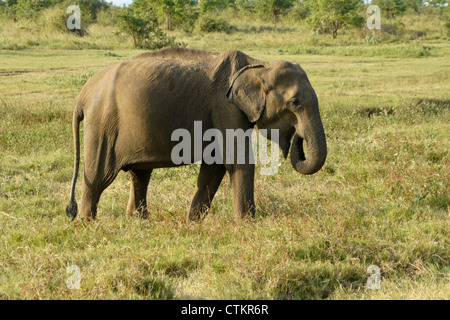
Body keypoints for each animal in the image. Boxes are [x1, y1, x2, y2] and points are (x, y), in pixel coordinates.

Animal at [66, 46, 326, 221]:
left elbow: (215, 164)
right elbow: (237, 160)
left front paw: (193, 222)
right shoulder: (225, 106)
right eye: (295, 103)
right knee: (98, 176)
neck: (259, 64)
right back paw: (86, 223)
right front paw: (247, 223)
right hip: (103, 125)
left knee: (140, 174)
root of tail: (83, 94)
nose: (297, 139)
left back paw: (138, 221)